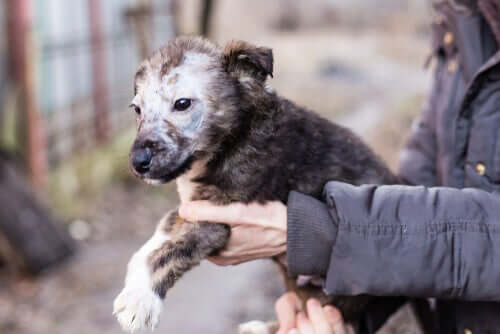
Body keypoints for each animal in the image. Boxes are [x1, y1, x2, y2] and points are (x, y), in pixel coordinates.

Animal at [112, 36, 398, 332]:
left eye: (182, 104)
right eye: (137, 109)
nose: (137, 162)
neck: (234, 137)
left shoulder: (217, 221)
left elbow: (167, 253)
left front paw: (140, 301)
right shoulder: (193, 206)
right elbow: (156, 239)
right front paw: (135, 284)